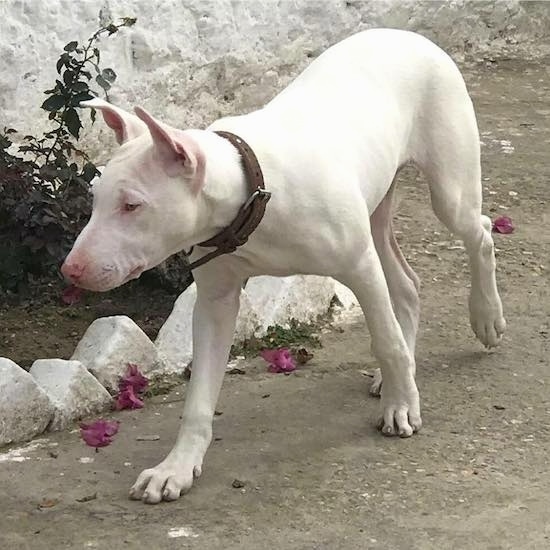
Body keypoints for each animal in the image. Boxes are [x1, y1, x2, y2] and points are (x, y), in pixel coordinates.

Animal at [62, 29, 506, 504]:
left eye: (132, 205)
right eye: (95, 198)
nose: (71, 270)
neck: (251, 193)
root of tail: (408, 34)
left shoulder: (359, 266)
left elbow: (385, 340)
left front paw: (403, 407)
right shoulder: (215, 301)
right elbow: (198, 396)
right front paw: (176, 468)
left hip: (448, 188)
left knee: (478, 233)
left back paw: (485, 319)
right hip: (377, 206)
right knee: (406, 283)